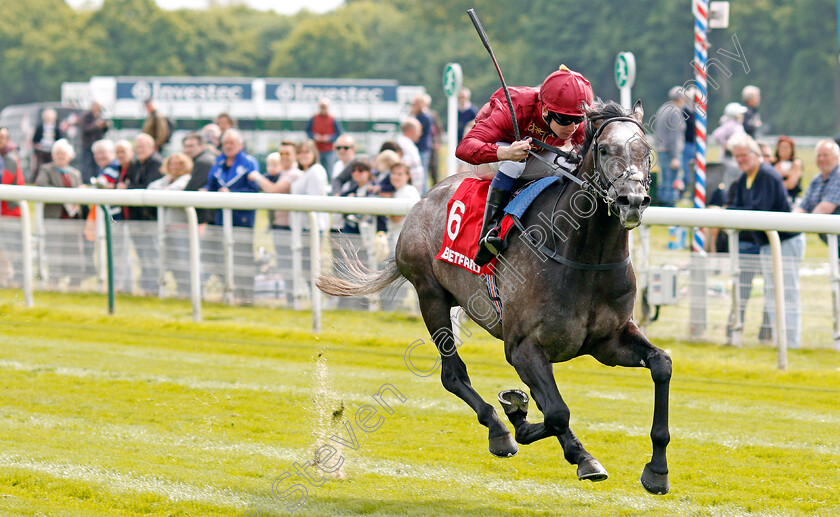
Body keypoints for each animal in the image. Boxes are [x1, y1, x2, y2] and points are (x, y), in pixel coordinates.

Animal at [318, 100, 672, 492]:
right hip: (431, 295)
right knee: (453, 375)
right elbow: (557, 413)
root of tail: (425, 196)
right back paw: (499, 430)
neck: (584, 257)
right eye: (605, 149)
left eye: (647, 151)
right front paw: (523, 418)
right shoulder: (522, 347)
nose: (632, 200)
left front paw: (657, 469)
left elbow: (661, 364)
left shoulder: (608, 341)